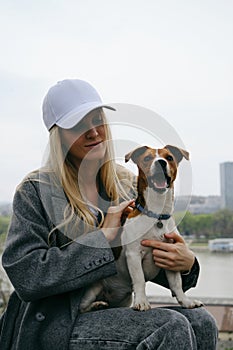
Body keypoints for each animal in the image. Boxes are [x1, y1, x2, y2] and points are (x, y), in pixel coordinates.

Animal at [79, 144, 203, 314]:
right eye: (147, 158)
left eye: (169, 157)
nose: (161, 162)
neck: (156, 215)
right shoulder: (133, 254)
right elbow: (139, 280)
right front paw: (142, 302)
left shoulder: (169, 255)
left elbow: (176, 283)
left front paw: (186, 301)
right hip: (93, 289)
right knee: (82, 307)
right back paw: (95, 305)